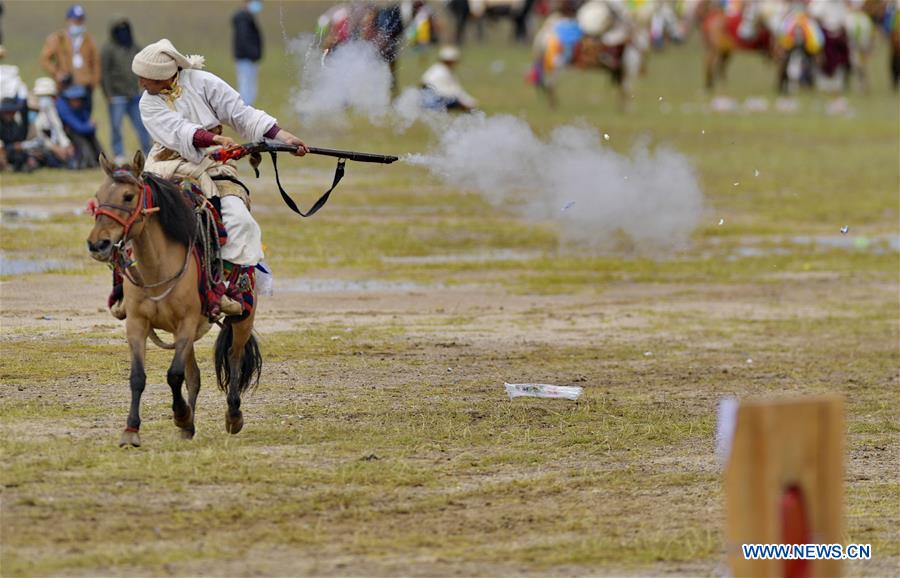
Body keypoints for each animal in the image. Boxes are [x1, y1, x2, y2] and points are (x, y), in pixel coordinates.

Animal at [85, 150, 260, 446]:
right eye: (98, 195)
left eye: (128, 196)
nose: (98, 244)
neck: (158, 267)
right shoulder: (137, 324)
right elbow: (139, 376)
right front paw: (132, 430)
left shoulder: (186, 323)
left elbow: (174, 375)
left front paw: (180, 414)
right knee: (195, 376)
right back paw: (189, 427)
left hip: (243, 318)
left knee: (234, 360)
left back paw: (233, 416)